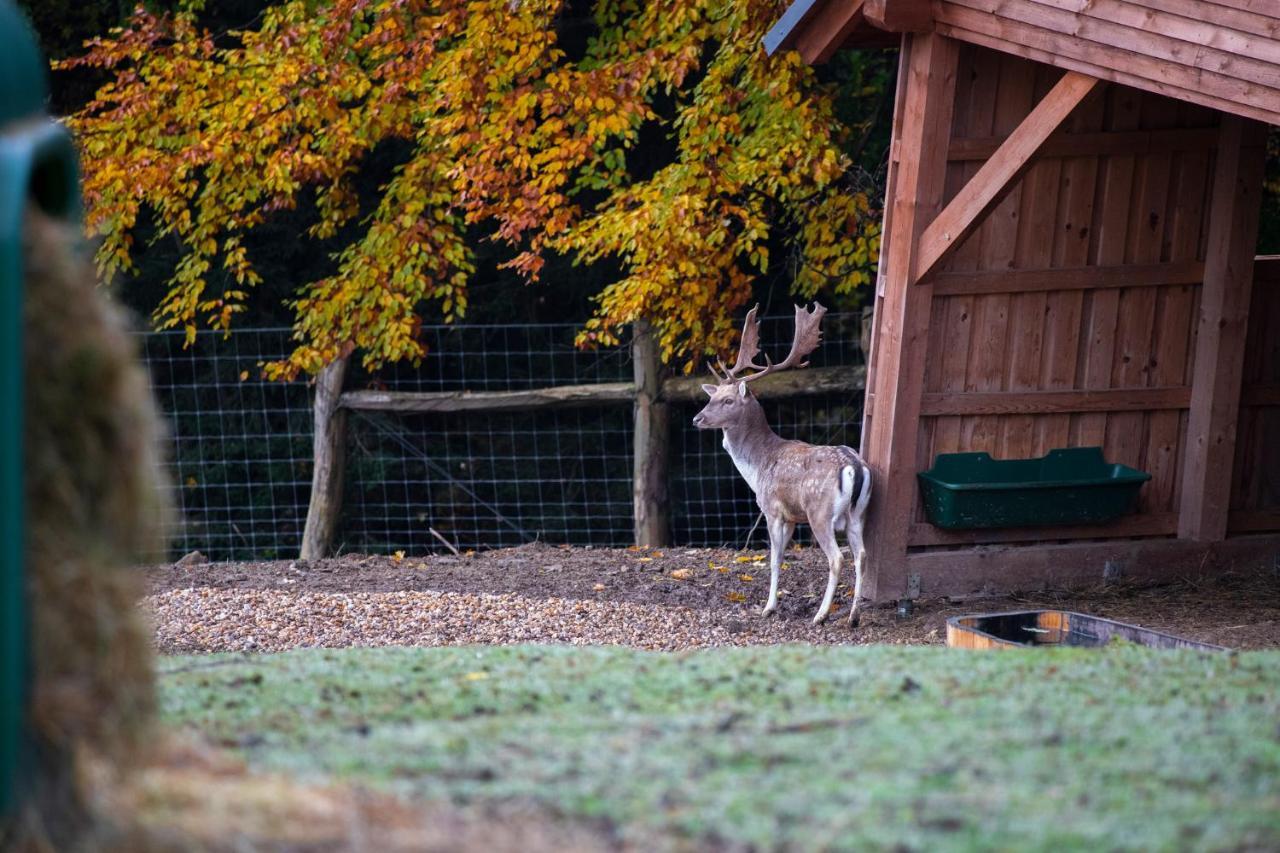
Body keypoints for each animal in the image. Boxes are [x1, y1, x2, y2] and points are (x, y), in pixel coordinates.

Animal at [696, 302, 875, 622]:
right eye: (711, 397)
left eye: (728, 400)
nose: (697, 419)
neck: (757, 466)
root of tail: (854, 466)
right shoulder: (792, 516)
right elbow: (781, 558)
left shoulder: (772, 509)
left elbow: (775, 559)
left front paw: (768, 607)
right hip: (858, 513)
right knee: (861, 555)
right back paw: (853, 617)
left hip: (819, 512)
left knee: (837, 558)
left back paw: (821, 615)